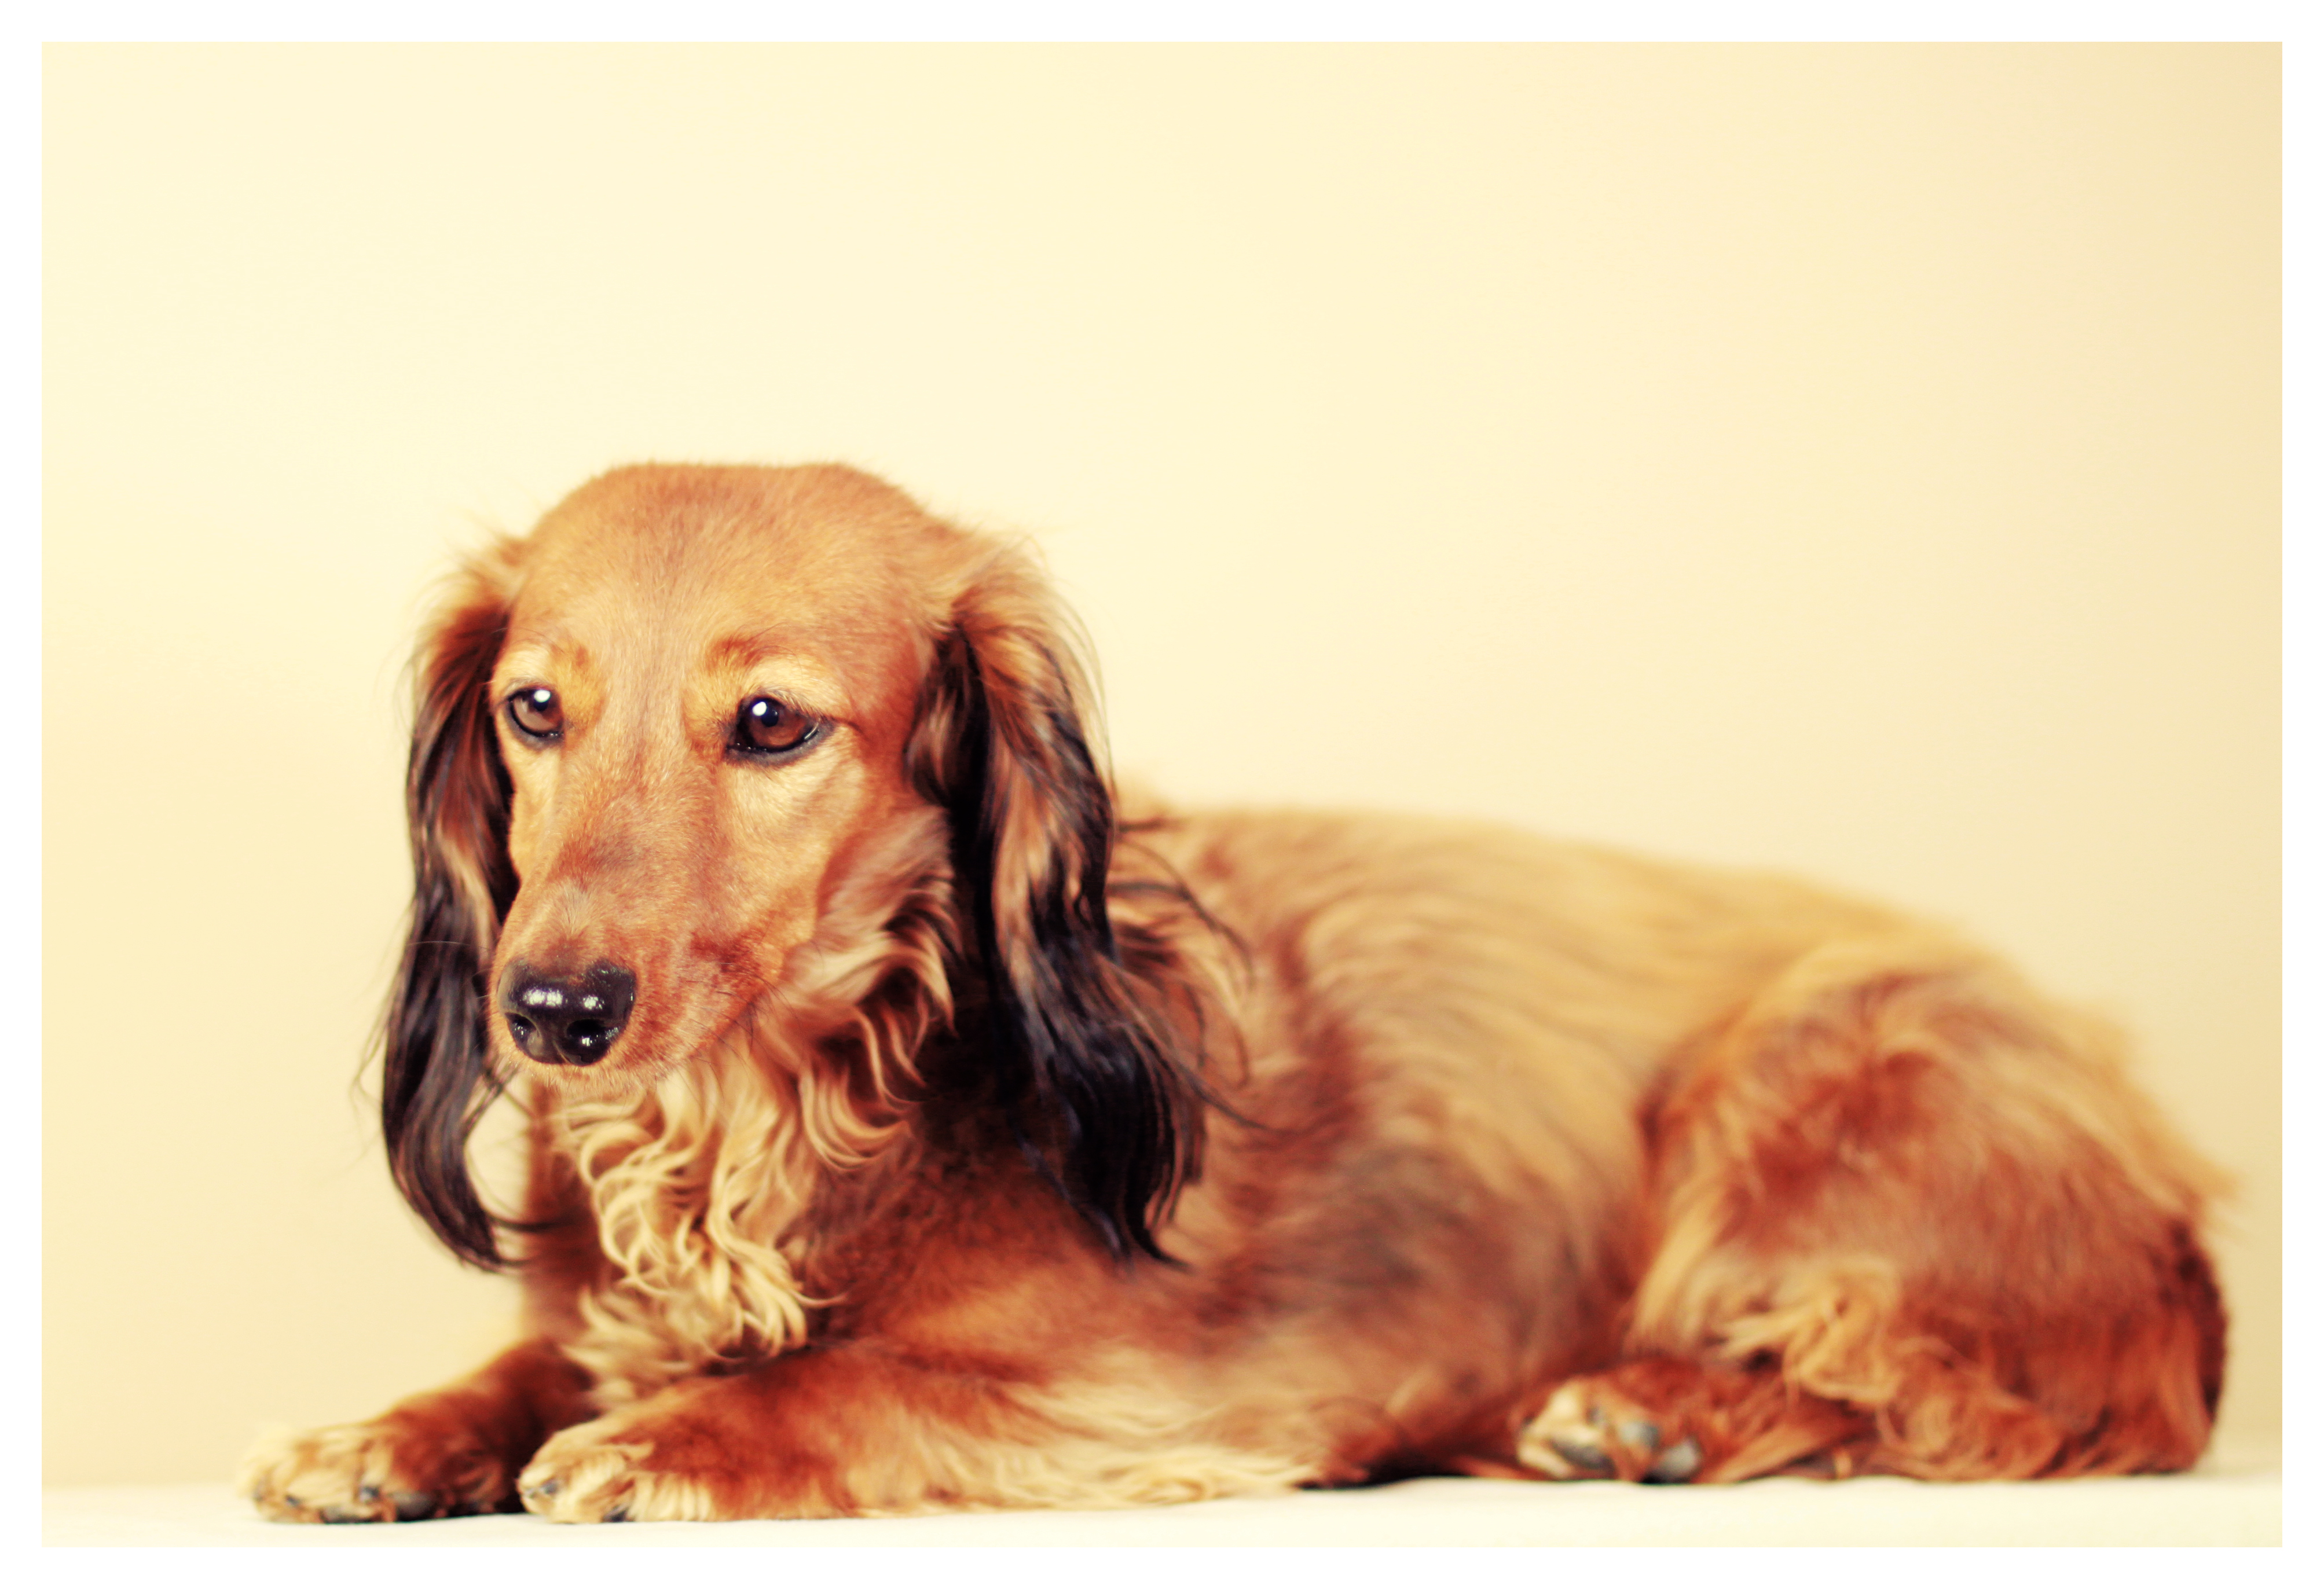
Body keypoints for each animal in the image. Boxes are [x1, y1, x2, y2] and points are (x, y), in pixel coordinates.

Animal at [243, 463, 2227, 1523]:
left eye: (771, 725)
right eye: (535, 708)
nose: (554, 1011)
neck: (773, 1118)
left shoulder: (1160, 1392)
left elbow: (856, 1382)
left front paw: (671, 1435)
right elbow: (525, 1364)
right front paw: (395, 1434)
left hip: (1820, 1057)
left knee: (1980, 1390)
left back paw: (1662, 1412)